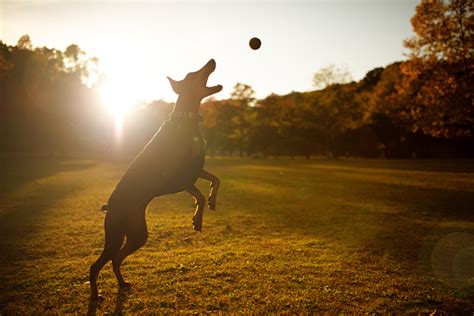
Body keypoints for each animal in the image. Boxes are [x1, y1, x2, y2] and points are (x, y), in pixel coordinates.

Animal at [90, 58, 222, 302]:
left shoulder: (194, 169)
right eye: (192, 74)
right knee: (96, 265)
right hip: (115, 234)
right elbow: (197, 194)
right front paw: (197, 218)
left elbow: (215, 180)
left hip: (137, 234)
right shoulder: (177, 177)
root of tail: (109, 207)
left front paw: (212, 201)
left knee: (117, 258)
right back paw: (95, 295)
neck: (186, 120)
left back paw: (122, 284)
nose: (212, 61)